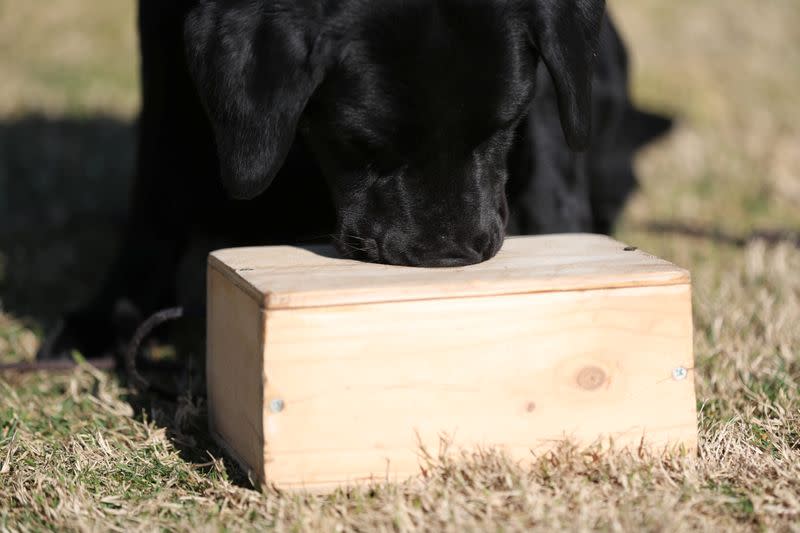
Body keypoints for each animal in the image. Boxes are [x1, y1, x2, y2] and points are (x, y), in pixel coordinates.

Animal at [40, 0, 672, 360]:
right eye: (363, 143)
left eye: (502, 126)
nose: (449, 256)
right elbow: (158, 179)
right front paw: (110, 317)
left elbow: (551, 160)